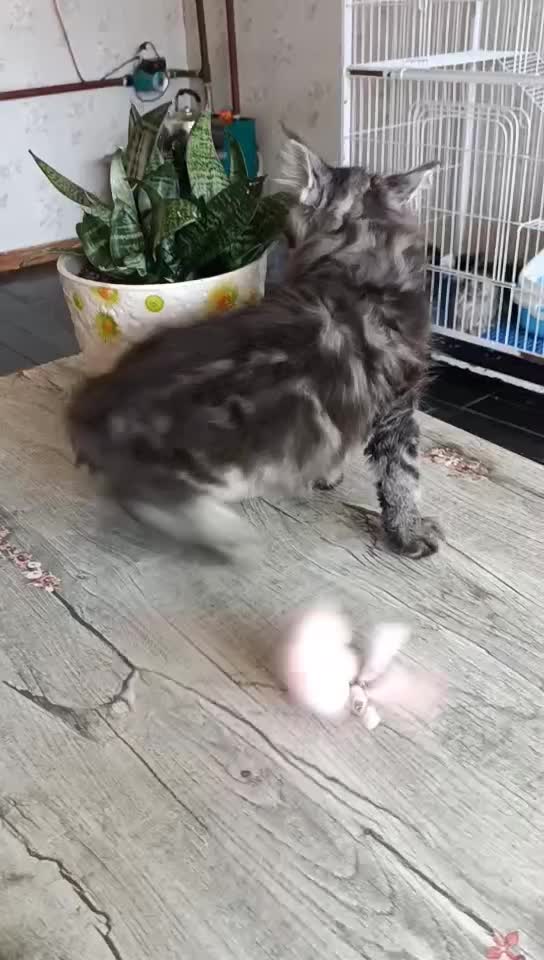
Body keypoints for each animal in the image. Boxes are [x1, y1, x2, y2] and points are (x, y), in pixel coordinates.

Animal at [68, 134, 442, 560]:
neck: (358, 262)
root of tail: (98, 401)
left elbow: (340, 446)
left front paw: (327, 475)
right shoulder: (398, 409)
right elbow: (402, 478)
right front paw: (409, 532)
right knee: (148, 497)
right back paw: (221, 534)